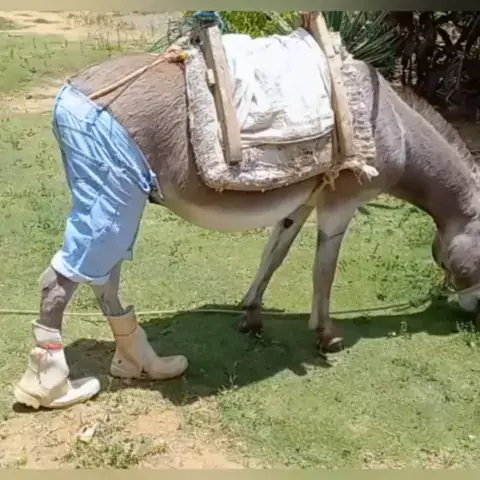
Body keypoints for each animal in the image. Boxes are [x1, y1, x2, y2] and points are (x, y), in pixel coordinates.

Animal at [13, 49, 480, 410]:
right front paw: (326, 335)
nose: (471, 311)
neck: (394, 128)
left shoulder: (301, 201)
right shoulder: (340, 204)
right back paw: (52, 391)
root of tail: (75, 87)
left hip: (116, 201)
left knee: (102, 278)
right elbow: (324, 271)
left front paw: (252, 313)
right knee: (61, 280)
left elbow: (276, 251)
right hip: (115, 192)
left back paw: (145, 365)